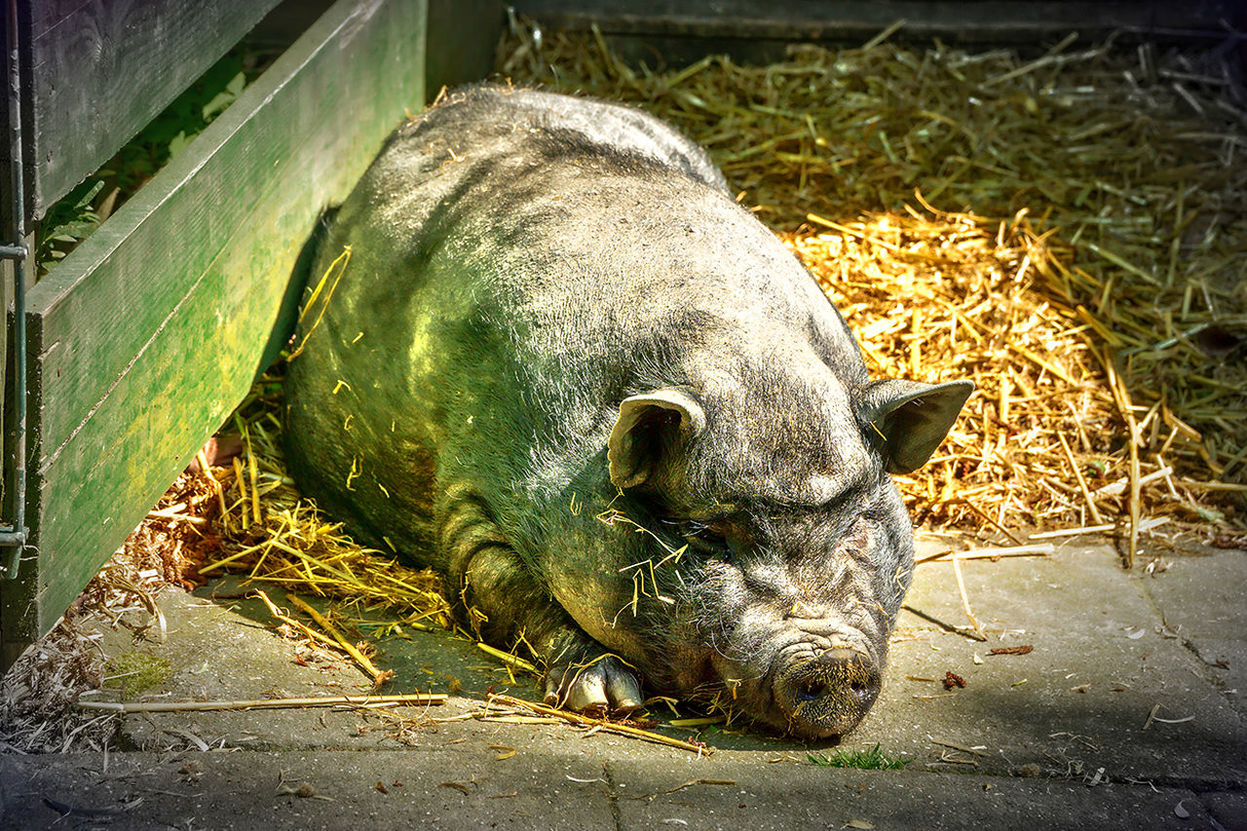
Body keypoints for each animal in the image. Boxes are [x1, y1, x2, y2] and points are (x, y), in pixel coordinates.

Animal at [285, 84, 972, 733]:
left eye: (855, 523)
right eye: (705, 533)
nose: (831, 660)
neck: (736, 353)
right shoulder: (468, 493)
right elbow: (501, 586)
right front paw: (607, 698)